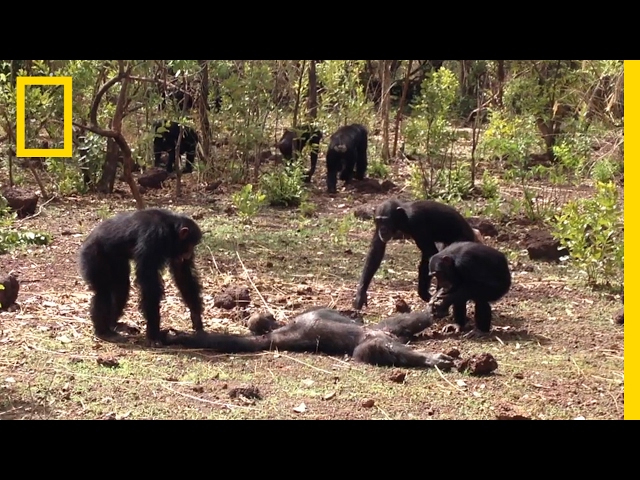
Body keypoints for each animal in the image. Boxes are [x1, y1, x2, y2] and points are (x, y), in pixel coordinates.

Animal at [77, 208, 204, 344]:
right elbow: (148, 281)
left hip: (117, 261)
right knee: (103, 291)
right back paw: (104, 332)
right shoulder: (153, 238)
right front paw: (154, 333)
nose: (190, 253)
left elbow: (182, 273)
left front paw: (196, 318)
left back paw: (114, 324)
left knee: (121, 287)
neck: (171, 231)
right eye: (190, 245)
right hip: (93, 256)